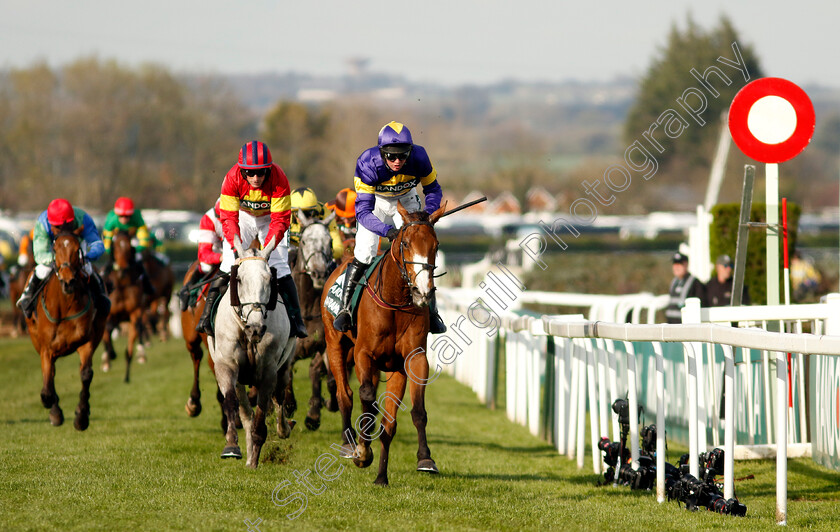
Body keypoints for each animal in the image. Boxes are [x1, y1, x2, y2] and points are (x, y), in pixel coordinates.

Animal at [24, 227, 108, 430]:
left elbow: (86, 374)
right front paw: (54, 410)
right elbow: (47, 386)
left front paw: (81, 416)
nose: (68, 281)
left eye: (78, 249)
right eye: (55, 249)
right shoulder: (46, 348)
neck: (64, 305)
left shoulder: (87, 341)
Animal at [101, 230, 146, 382]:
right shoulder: (109, 313)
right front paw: (111, 354)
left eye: (128, 247)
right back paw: (107, 359)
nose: (122, 270)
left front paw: (127, 376)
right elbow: (108, 330)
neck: (121, 284)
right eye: (115, 247)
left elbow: (130, 346)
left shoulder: (135, 312)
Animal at [208, 235, 296, 468]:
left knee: (280, 395)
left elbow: (262, 411)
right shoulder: (226, 366)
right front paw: (232, 446)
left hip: (284, 366)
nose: (255, 328)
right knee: (245, 412)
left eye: (269, 279)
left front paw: (255, 456)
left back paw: (283, 429)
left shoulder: (268, 371)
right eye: (239, 279)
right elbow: (232, 403)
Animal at [284, 210, 340, 430]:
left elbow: (330, 379)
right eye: (305, 241)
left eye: (330, 241)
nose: (318, 272)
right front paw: (289, 405)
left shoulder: (325, 344)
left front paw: (325, 405)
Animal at [322, 202, 446, 484]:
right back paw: (349, 444)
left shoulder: (413, 358)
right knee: (345, 394)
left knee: (388, 420)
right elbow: (367, 397)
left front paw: (425, 459)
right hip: (334, 344)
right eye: (406, 243)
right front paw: (362, 451)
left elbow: (415, 412)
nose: (423, 292)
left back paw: (381, 476)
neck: (396, 300)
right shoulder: (363, 355)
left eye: (435, 246)